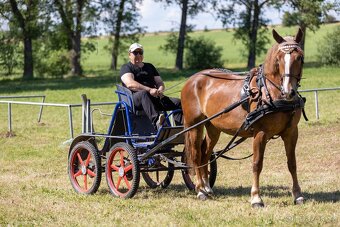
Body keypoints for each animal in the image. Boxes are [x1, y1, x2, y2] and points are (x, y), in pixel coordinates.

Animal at [182, 28, 306, 207]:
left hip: (213, 127)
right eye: (278, 59)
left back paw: (207, 187)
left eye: (300, 57)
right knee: (196, 154)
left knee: (206, 152)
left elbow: (292, 163)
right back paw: (199, 190)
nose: (289, 91)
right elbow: (257, 164)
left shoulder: (291, 132)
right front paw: (256, 198)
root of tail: (192, 79)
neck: (272, 93)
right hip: (195, 125)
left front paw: (297, 195)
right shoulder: (260, 133)